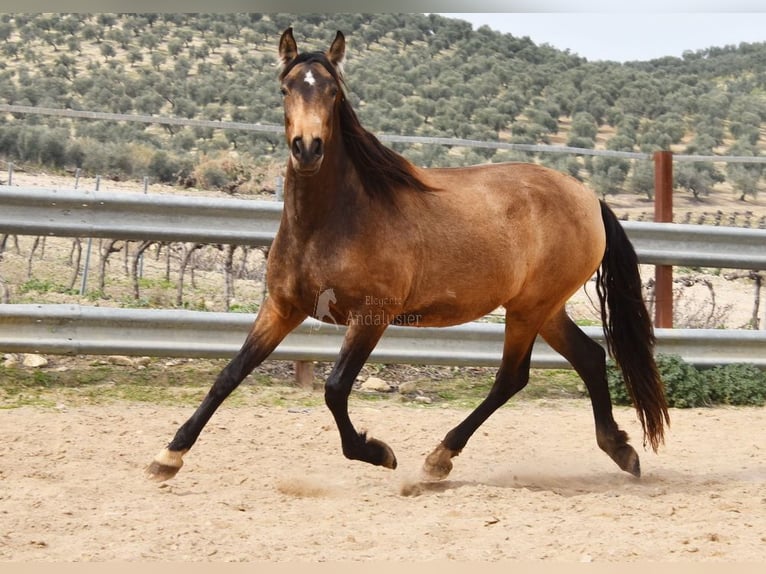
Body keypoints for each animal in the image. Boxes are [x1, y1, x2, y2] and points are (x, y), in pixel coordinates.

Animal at [147, 28, 668, 486]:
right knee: (589, 357)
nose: (308, 148)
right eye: (285, 88)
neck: (332, 221)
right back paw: (620, 451)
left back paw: (439, 458)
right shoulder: (282, 307)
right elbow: (230, 373)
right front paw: (168, 457)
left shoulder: (372, 317)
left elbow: (335, 389)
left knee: (511, 378)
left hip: (529, 309)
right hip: (543, 308)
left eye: (333, 92)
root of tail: (588, 197)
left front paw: (378, 452)